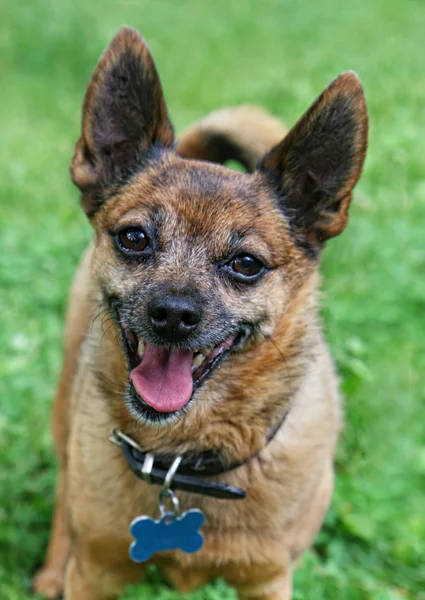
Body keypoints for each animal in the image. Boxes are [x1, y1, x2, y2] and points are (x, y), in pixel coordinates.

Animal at [33, 25, 366, 596]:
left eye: (247, 264)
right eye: (135, 238)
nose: (172, 313)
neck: (181, 460)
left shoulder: (268, 580)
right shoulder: (97, 572)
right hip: (65, 411)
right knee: (64, 492)